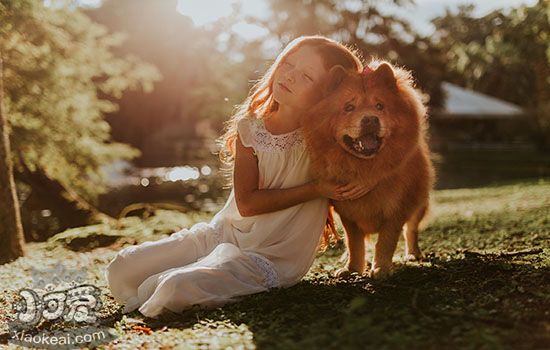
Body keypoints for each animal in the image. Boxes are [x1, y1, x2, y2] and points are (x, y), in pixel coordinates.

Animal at [302, 60, 436, 278]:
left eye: (380, 106)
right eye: (349, 107)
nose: (370, 119)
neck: (364, 166)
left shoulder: (396, 210)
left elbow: (386, 241)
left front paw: (381, 268)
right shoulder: (348, 214)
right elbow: (354, 243)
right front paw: (352, 269)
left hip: (419, 202)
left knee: (411, 229)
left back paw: (413, 254)